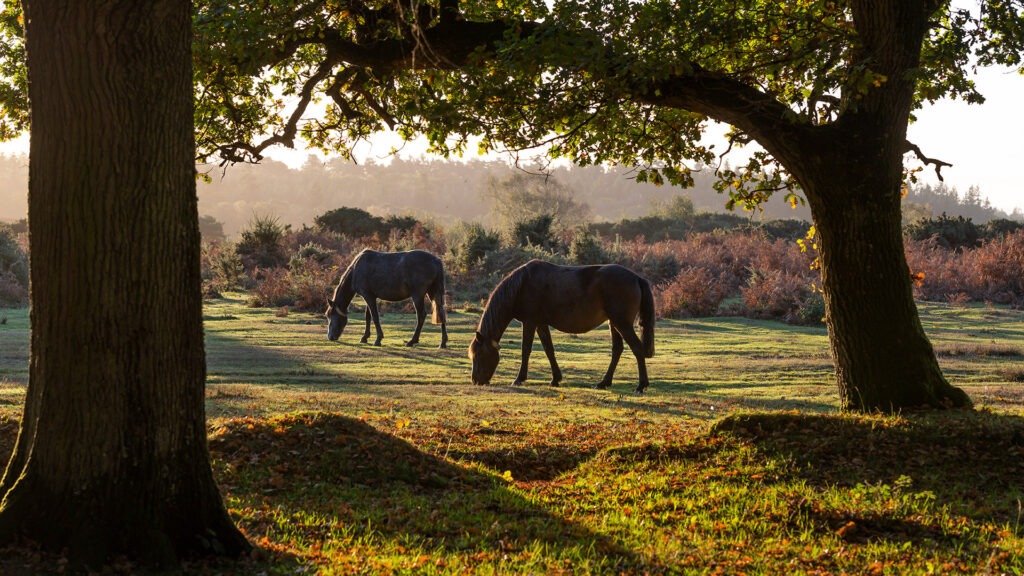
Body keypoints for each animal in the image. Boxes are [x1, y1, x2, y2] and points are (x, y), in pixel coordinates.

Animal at [468, 259, 655, 392]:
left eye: (479, 355)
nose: (476, 381)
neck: (522, 285)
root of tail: (637, 278)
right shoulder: (541, 324)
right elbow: (549, 350)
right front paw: (555, 379)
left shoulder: (530, 322)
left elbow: (526, 349)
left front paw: (519, 379)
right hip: (613, 324)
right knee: (617, 350)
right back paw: (604, 383)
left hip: (622, 323)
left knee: (637, 348)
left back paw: (641, 385)